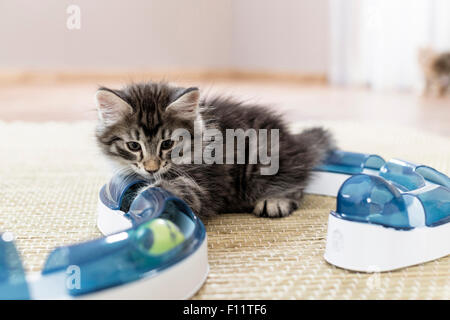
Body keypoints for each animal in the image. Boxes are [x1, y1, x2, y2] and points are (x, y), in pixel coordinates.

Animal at [94, 81, 334, 219]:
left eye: (167, 144)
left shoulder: (201, 186)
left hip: (265, 160)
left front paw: (141, 200)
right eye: (134, 146)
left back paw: (275, 201)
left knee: (297, 183)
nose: (152, 168)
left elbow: (166, 190)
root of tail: (294, 140)